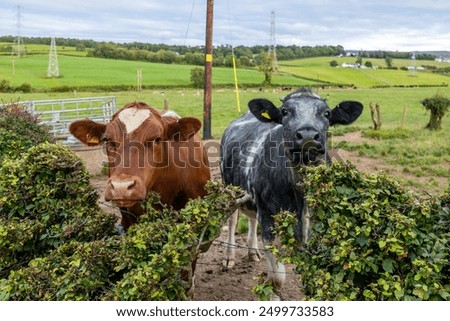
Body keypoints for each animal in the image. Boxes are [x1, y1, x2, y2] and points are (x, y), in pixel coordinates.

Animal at [220, 87, 364, 298]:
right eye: (285, 111)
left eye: (327, 113)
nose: (307, 135)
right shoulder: (269, 222)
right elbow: (277, 280)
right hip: (228, 187)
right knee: (232, 220)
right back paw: (229, 257)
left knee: (252, 218)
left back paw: (252, 252)